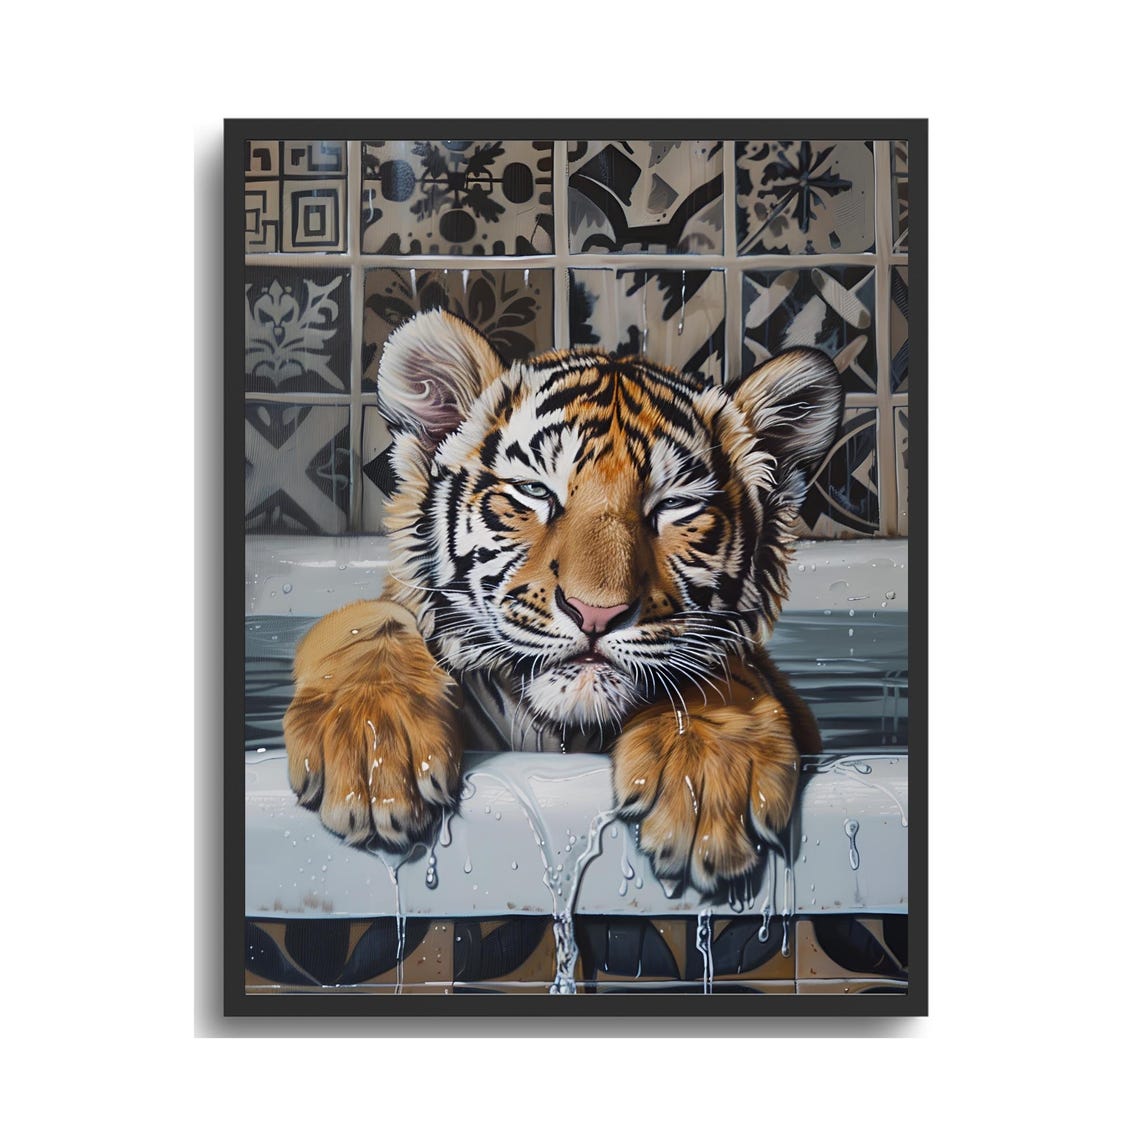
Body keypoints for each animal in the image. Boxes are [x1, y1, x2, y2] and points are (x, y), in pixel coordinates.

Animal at [283, 309, 842, 896]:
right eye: (535, 491)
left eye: (674, 506)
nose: (596, 613)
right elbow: (370, 619)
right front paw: (371, 745)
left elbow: (722, 668)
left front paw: (706, 773)